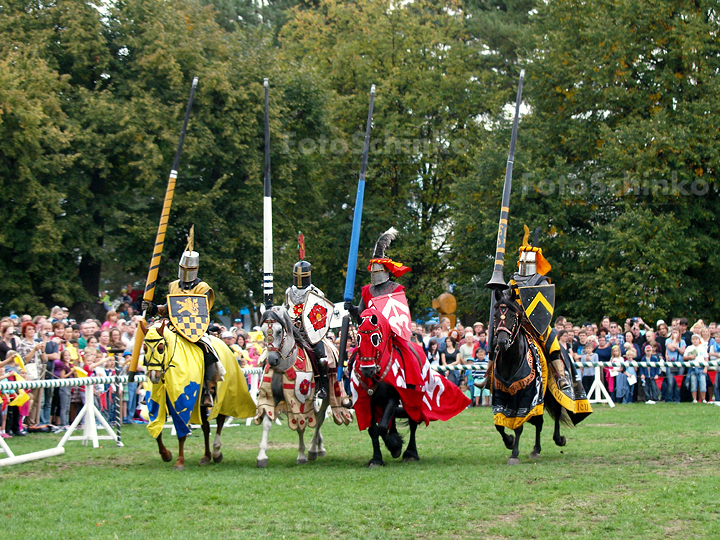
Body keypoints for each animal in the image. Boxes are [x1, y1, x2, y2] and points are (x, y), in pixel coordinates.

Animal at [143, 320, 256, 468]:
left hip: (223, 397)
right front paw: (166, 455)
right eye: (144, 349)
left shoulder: (183, 404)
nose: (153, 376)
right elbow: (157, 430)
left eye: (161, 348)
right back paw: (206, 456)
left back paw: (216, 452)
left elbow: (182, 432)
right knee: (206, 427)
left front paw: (179, 461)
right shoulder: (159, 403)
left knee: (219, 421)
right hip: (202, 403)